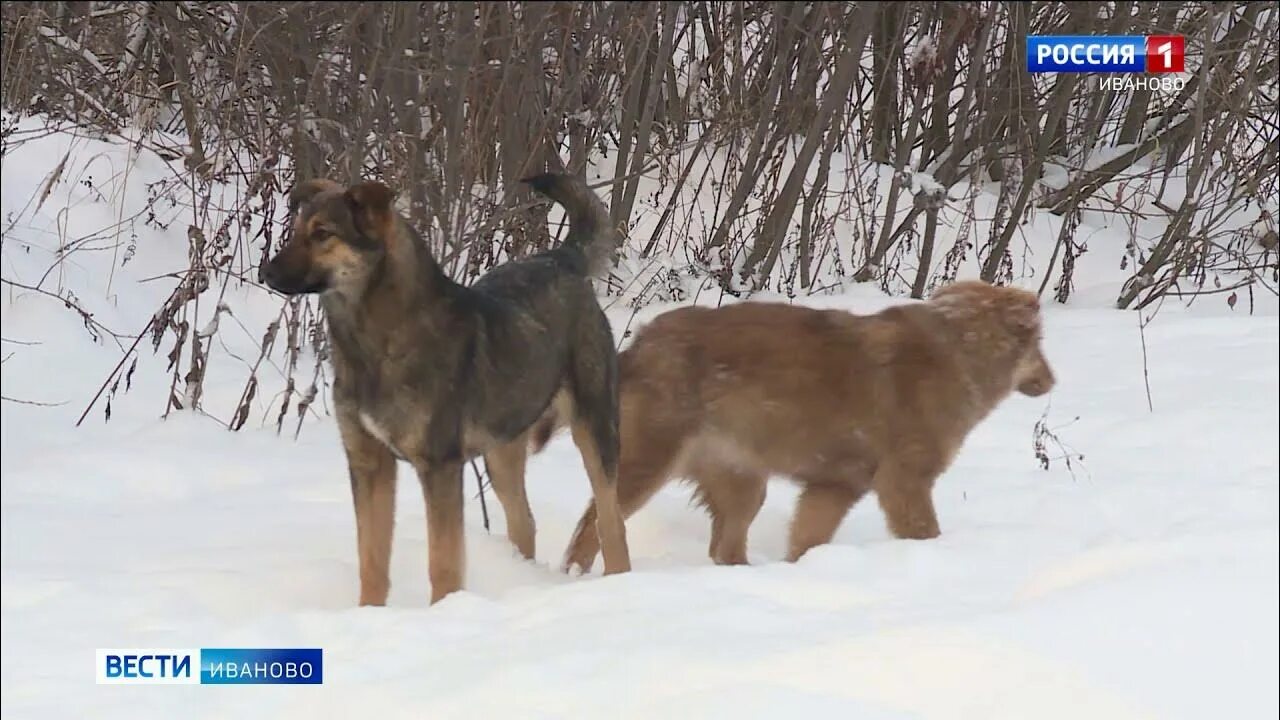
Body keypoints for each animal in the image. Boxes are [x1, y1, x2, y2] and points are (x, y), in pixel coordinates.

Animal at [261, 170, 634, 602]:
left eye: (323, 234)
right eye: (296, 230)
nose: (264, 273)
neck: (375, 342)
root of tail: (560, 258)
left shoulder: (439, 466)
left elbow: (443, 562)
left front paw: (445, 609)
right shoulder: (369, 462)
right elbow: (371, 559)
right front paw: (369, 611)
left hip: (594, 428)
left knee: (611, 521)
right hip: (501, 450)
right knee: (523, 521)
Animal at [529, 278, 1059, 568]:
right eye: (1040, 345)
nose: (1054, 380)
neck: (961, 348)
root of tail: (636, 347)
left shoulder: (834, 486)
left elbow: (806, 539)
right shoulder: (904, 481)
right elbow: (924, 531)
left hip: (742, 483)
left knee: (724, 548)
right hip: (645, 465)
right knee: (593, 527)